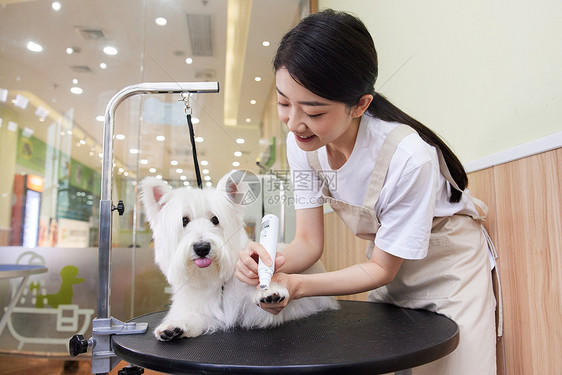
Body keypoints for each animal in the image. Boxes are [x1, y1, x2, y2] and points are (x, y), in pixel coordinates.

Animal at [139, 173, 336, 340]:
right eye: (184, 221)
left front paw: (269, 291)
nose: (202, 248)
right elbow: (193, 317)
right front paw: (173, 326)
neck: (217, 282)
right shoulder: (201, 307)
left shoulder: (256, 314)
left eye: (215, 219)